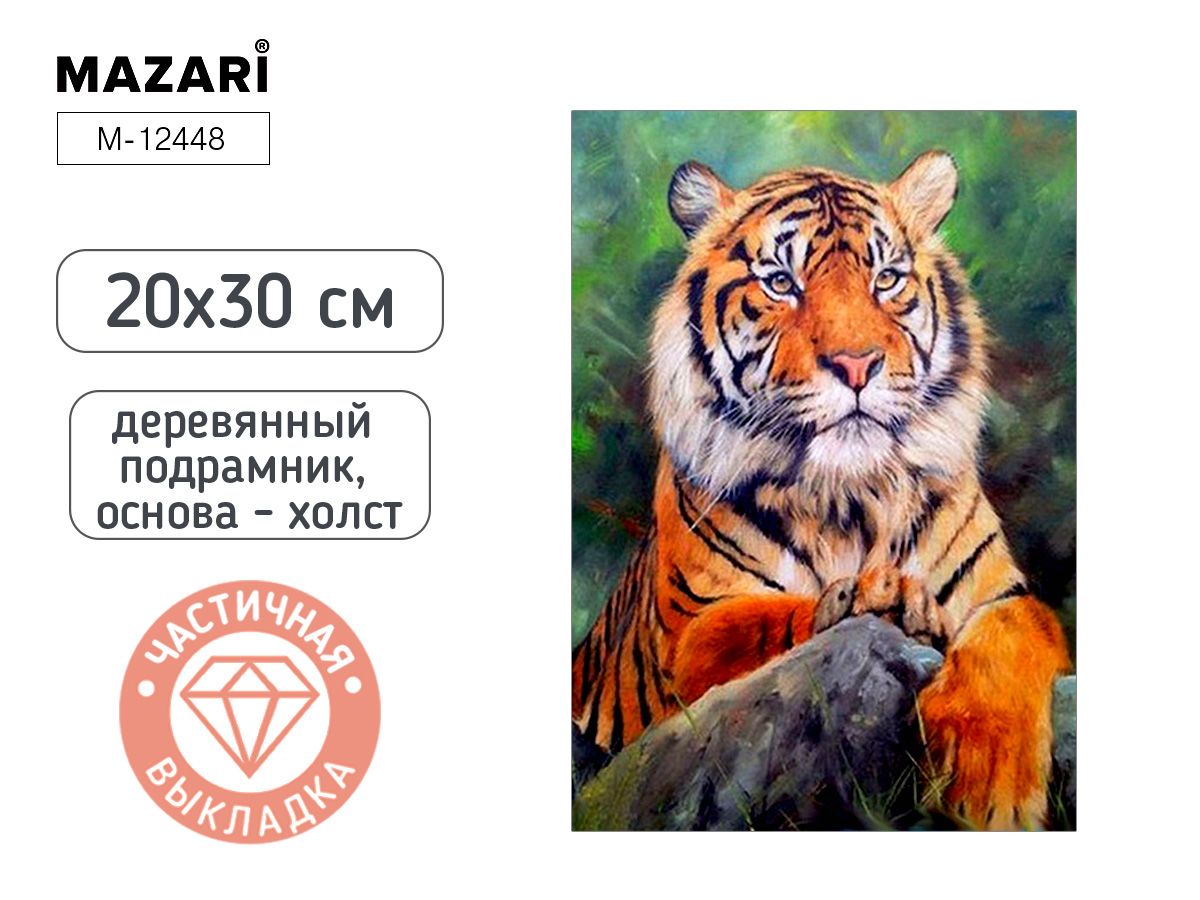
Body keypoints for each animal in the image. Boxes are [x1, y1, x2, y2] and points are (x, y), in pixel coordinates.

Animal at [571, 150, 1072, 830]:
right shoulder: (692, 632)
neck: (852, 496)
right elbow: (762, 623)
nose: (857, 365)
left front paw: (990, 787)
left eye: (886, 278)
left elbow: (1016, 634)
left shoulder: (1001, 595)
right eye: (782, 283)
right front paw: (874, 597)